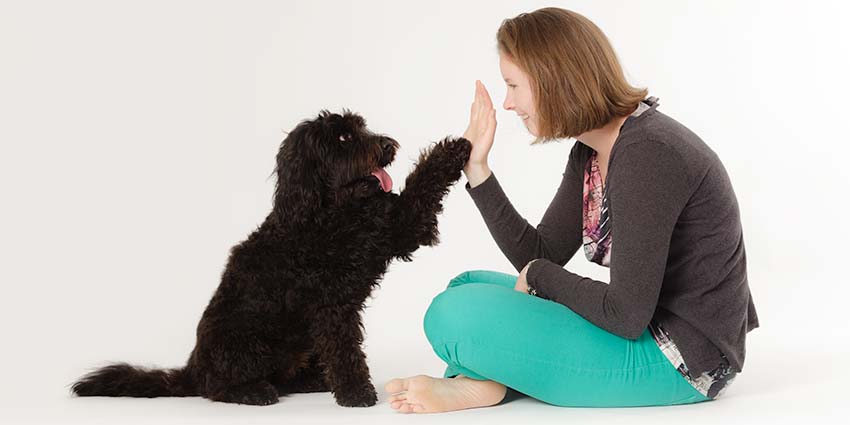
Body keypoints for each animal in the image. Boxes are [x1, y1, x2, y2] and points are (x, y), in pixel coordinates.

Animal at [71, 111, 470, 406]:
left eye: (362, 127)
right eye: (343, 138)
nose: (387, 145)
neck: (331, 212)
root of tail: (192, 368)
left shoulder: (398, 229)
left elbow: (422, 185)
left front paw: (456, 148)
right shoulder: (331, 304)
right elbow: (344, 350)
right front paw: (356, 393)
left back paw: (311, 381)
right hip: (246, 343)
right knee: (216, 387)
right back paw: (254, 391)